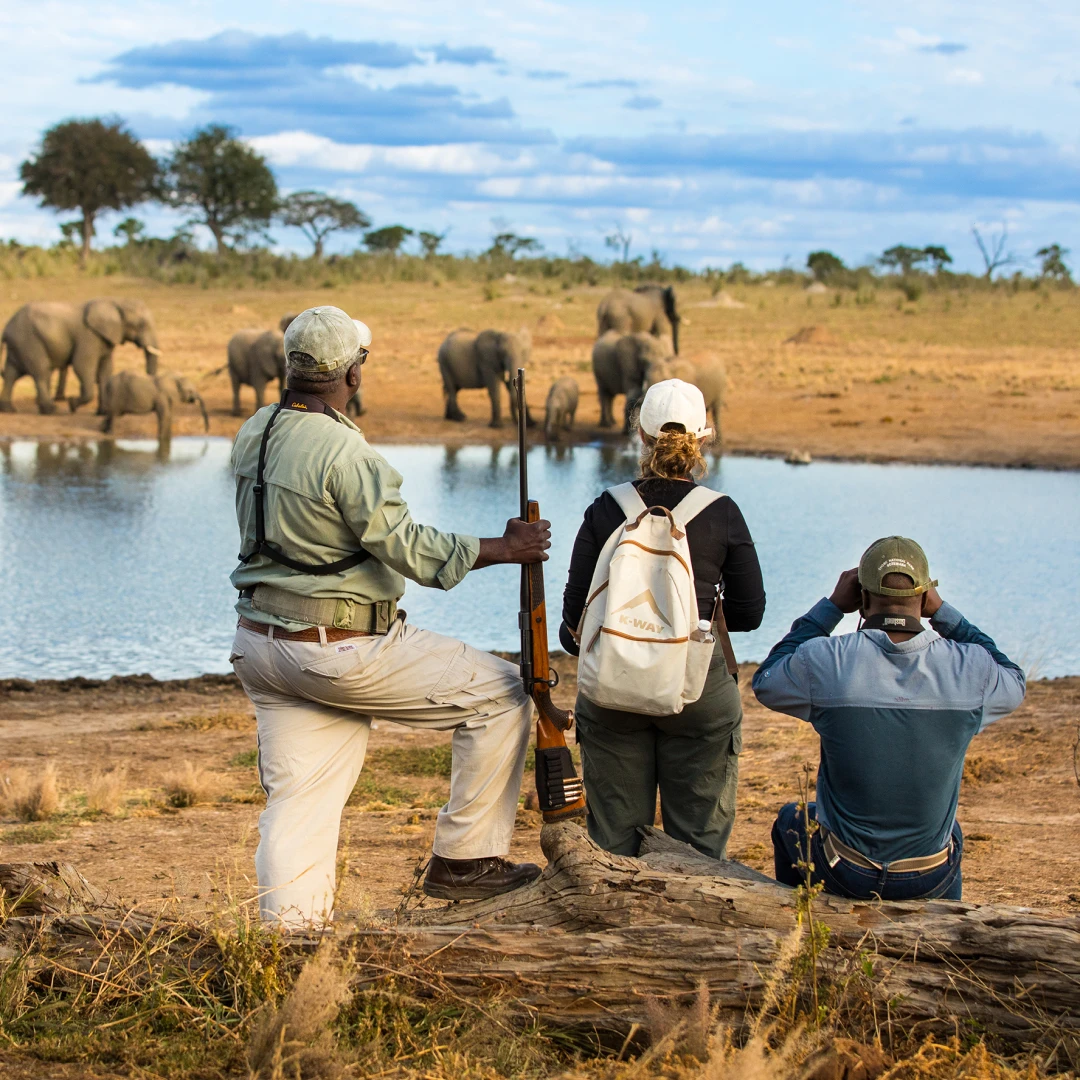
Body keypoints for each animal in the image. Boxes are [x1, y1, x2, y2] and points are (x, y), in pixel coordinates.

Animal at [0, 298, 161, 415]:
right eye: (142, 325)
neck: (116, 303)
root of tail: (6, 328)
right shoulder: (88, 337)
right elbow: (82, 366)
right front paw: (72, 404)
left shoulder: (105, 339)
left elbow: (105, 370)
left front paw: (102, 413)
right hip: (29, 341)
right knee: (41, 372)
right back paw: (52, 411)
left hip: (19, 344)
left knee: (11, 373)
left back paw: (9, 410)